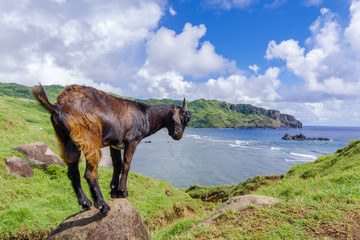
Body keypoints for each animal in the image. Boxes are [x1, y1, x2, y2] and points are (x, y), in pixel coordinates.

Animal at [30, 84, 191, 214]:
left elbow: (117, 165)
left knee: (72, 171)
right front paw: (123, 191)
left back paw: (85, 203)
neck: (145, 114)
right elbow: (126, 165)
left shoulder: (115, 144)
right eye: (183, 119)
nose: (178, 136)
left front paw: (114, 191)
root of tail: (58, 106)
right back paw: (102, 205)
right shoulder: (132, 140)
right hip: (88, 137)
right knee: (90, 173)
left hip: (67, 139)